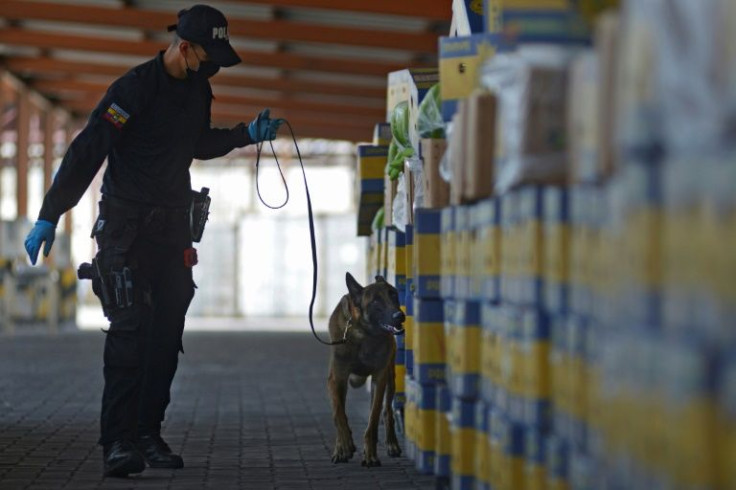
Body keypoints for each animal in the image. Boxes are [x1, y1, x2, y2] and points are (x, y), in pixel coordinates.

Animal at [330, 272, 408, 468]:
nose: (400, 315)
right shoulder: (336, 379)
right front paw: (343, 447)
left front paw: (370, 455)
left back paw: (392, 444)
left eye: (394, 294)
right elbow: (338, 413)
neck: (363, 335)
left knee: (387, 412)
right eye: (375, 301)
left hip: (389, 379)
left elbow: (373, 421)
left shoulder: (379, 379)